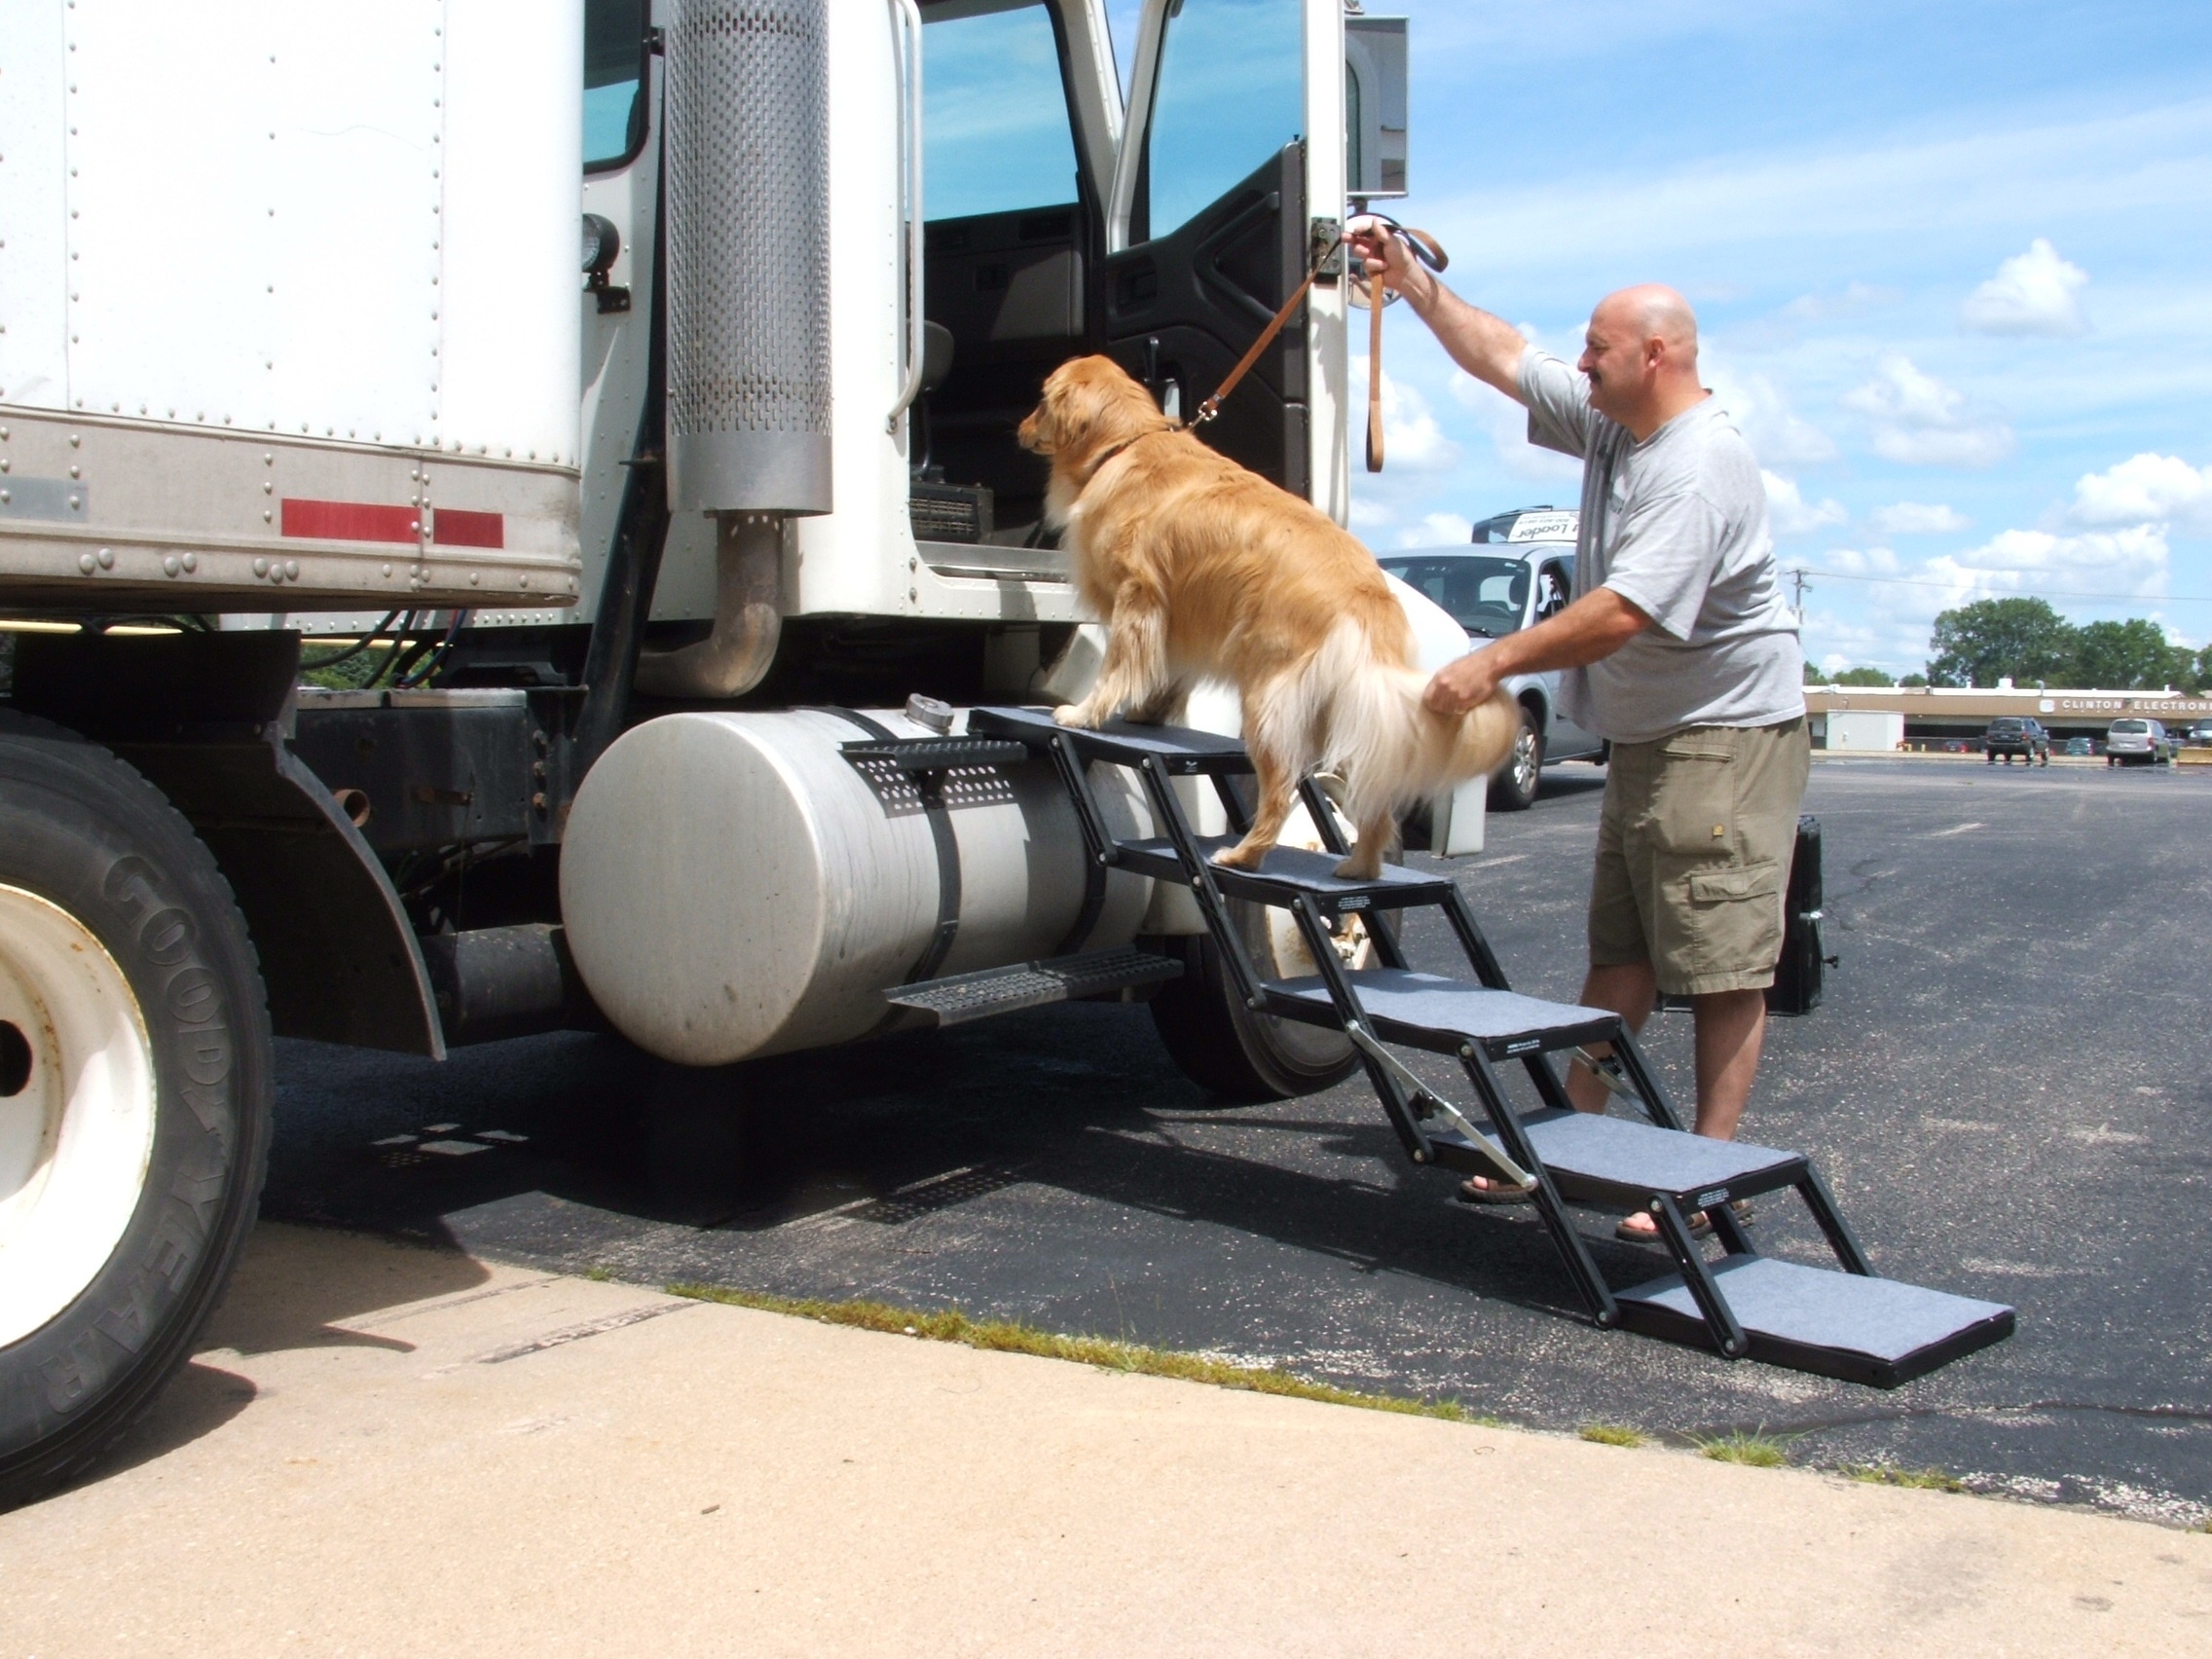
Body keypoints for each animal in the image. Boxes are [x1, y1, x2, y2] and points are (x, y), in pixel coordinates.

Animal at [1021, 355, 1522, 884]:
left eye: (1041, 400)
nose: (1019, 428)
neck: (1125, 444)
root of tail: (1364, 598)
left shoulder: (1138, 597)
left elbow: (1116, 668)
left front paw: (1084, 713)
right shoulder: (1180, 615)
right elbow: (1172, 672)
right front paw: (1150, 711)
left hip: (1267, 703)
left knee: (1281, 793)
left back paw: (1244, 855)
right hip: (1343, 713)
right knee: (1372, 801)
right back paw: (1358, 867)